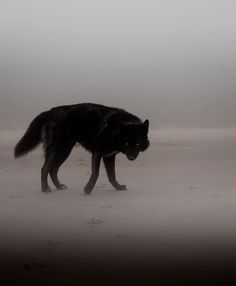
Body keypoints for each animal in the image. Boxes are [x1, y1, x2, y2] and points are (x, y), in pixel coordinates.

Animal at [14, 103, 149, 194]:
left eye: (137, 144)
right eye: (126, 143)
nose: (131, 156)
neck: (114, 130)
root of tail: (49, 111)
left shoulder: (109, 156)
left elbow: (112, 175)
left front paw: (118, 187)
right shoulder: (98, 153)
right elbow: (95, 173)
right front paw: (88, 189)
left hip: (64, 151)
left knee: (53, 170)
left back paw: (59, 186)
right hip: (58, 150)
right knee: (45, 169)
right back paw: (46, 189)